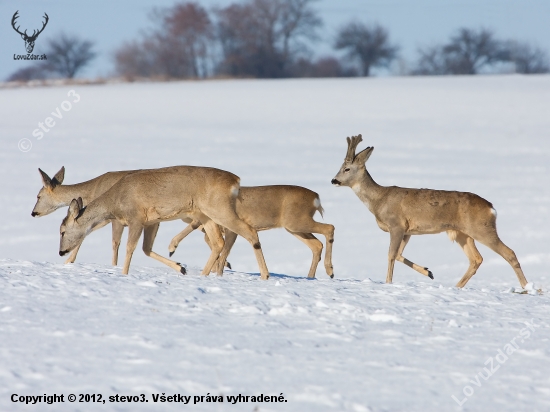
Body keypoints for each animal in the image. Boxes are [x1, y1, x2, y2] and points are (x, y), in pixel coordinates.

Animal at [168, 185, 336, 278]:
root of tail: (316, 198)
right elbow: (222, 251)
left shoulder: (228, 228)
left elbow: (221, 250)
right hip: (294, 227)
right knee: (316, 245)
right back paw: (311, 277)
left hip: (296, 222)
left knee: (330, 228)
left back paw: (330, 271)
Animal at [332, 134, 532, 288]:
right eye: (340, 168)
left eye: (347, 168)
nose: (334, 180)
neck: (379, 200)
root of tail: (491, 208)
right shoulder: (407, 230)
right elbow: (398, 254)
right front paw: (429, 272)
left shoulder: (396, 224)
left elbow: (391, 254)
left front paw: (388, 283)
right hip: (463, 233)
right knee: (476, 259)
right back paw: (456, 287)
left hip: (481, 228)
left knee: (509, 253)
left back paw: (527, 288)